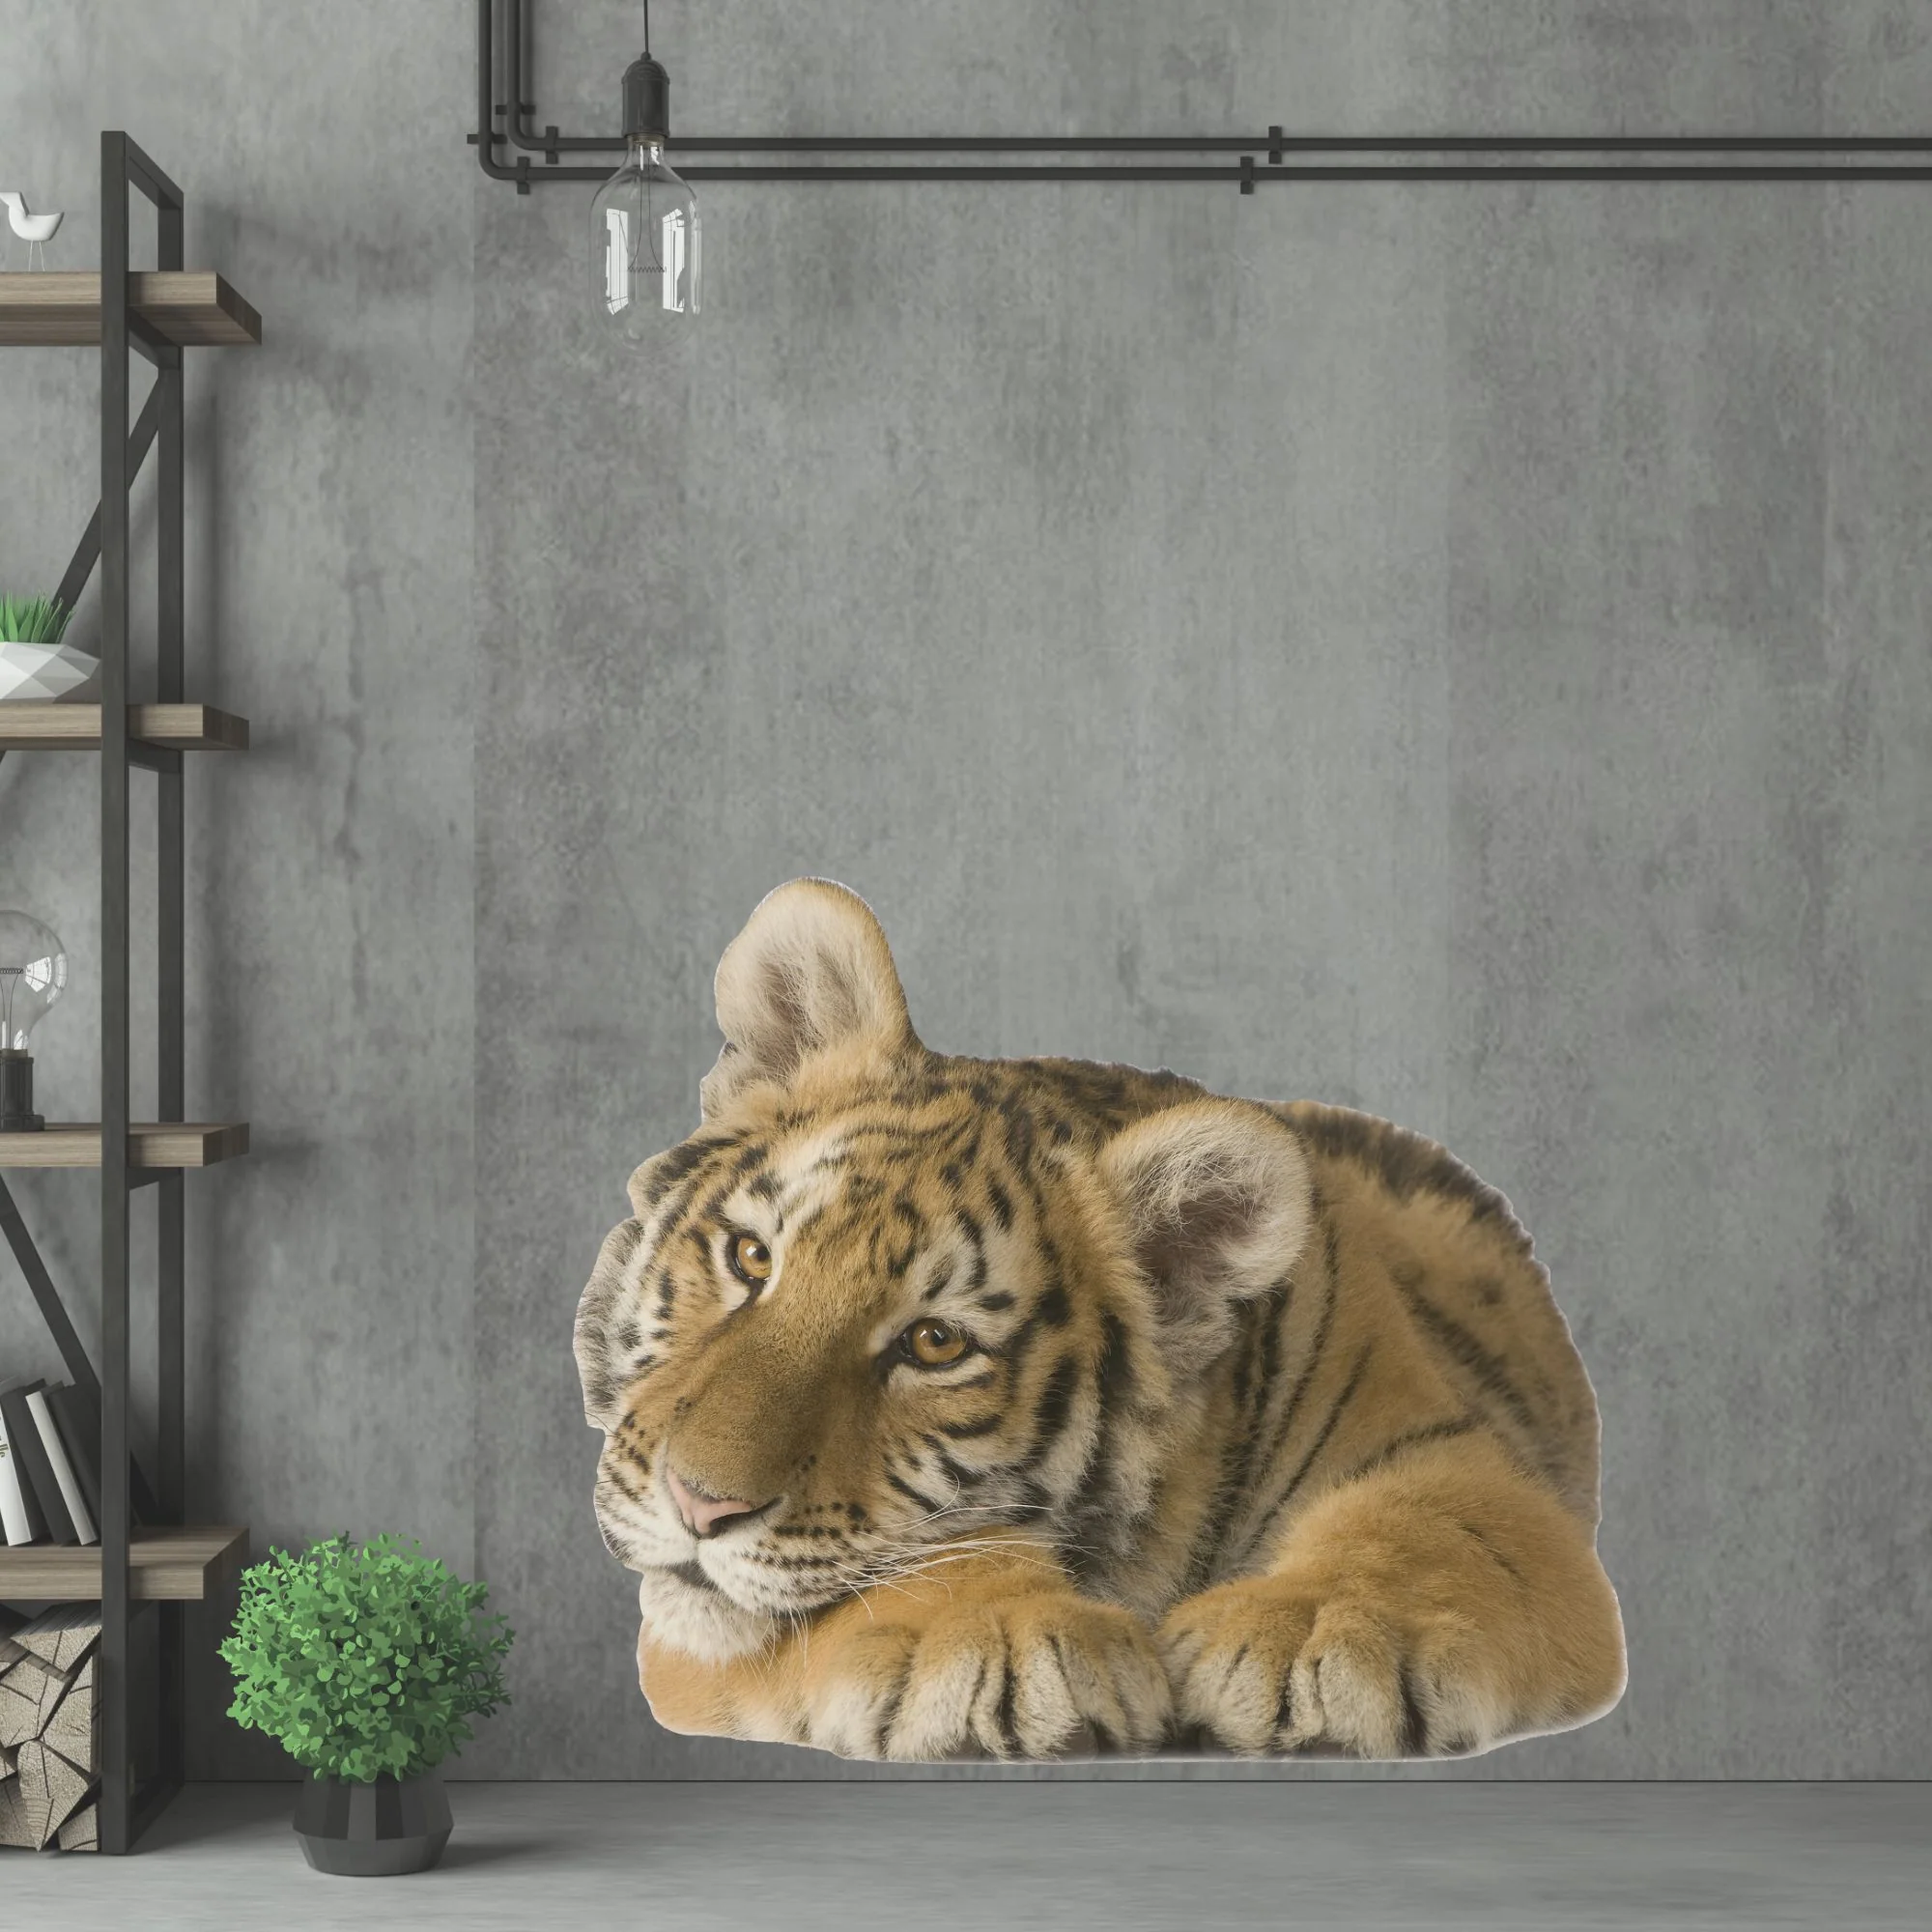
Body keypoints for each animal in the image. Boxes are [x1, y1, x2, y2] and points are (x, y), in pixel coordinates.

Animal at [573, 878, 1627, 1761]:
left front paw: (1312, 1632)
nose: (699, 1506)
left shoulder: (1466, 1462)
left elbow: (1428, 1530)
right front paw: (1008, 1637)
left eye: (935, 1342)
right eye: (751, 1257)